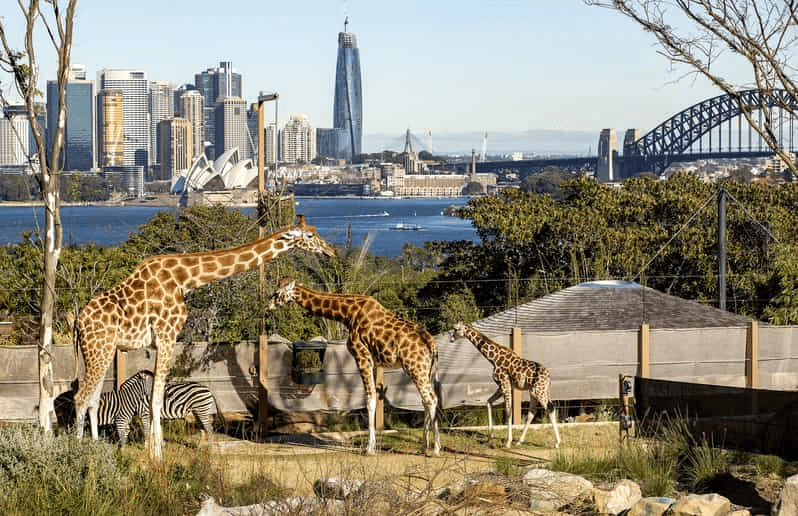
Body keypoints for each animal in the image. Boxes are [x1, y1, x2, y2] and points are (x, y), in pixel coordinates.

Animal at [73, 215, 334, 461]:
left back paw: (94, 450)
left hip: (103, 351)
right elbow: (155, 399)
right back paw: (78, 455)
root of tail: (77, 323)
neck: (184, 279)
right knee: (80, 397)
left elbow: (153, 398)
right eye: (310, 235)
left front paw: (154, 452)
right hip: (99, 349)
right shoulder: (167, 335)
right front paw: (157, 457)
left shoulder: (160, 341)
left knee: (92, 399)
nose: (329, 251)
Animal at [268, 277, 441, 456]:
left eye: (277, 293)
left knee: (431, 399)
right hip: (426, 370)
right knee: (427, 400)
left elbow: (370, 399)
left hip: (415, 367)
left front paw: (369, 449)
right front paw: (372, 446)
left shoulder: (361, 355)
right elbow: (374, 396)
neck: (347, 314)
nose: (268, 307)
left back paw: (435, 449)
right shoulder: (373, 361)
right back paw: (423, 448)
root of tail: (432, 345)